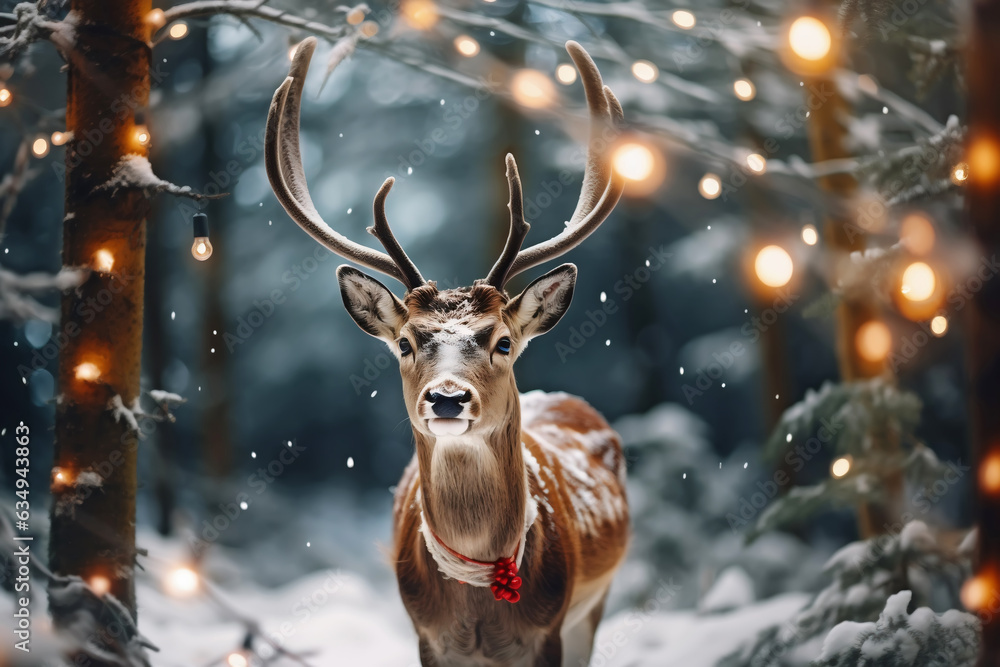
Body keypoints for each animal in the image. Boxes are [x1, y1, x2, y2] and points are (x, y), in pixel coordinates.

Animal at [265, 36, 630, 667]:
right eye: (405, 342)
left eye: (503, 340)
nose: (448, 399)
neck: (480, 610)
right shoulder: (426, 637)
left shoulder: (551, 631)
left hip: (595, 603)